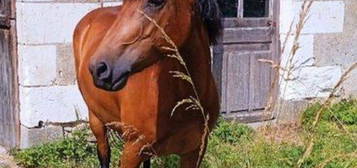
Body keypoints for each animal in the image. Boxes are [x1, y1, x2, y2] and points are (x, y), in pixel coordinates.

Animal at [73, 0, 220, 167]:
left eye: (156, 2)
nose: (98, 68)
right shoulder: (131, 152)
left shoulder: (194, 152)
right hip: (96, 120)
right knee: (104, 152)